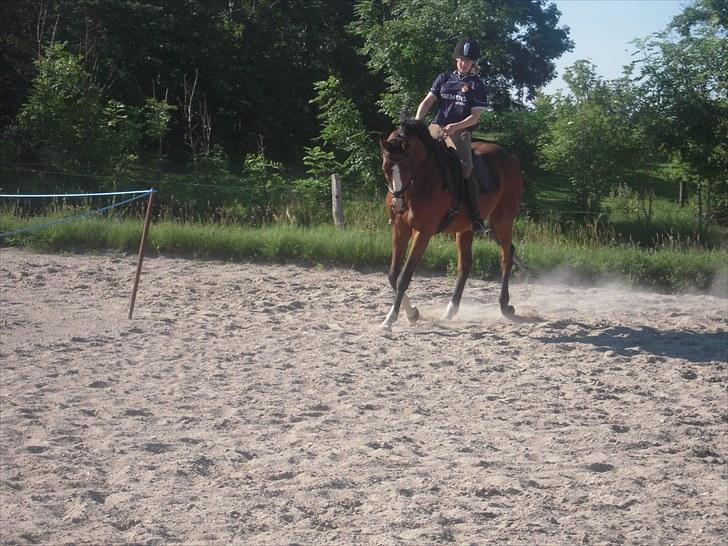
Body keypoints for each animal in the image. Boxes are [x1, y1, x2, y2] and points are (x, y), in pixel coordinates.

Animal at [382, 117, 524, 330]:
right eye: (385, 170)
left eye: (407, 168)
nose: (398, 204)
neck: (421, 180)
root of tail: (511, 158)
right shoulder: (400, 229)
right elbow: (392, 275)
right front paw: (412, 313)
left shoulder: (423, 232)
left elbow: (403, 277)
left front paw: (391, 319)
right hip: (466, 228)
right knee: (465, 264)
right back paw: (451, 309)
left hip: (502, 220)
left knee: (506, 255)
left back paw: (505, 306)